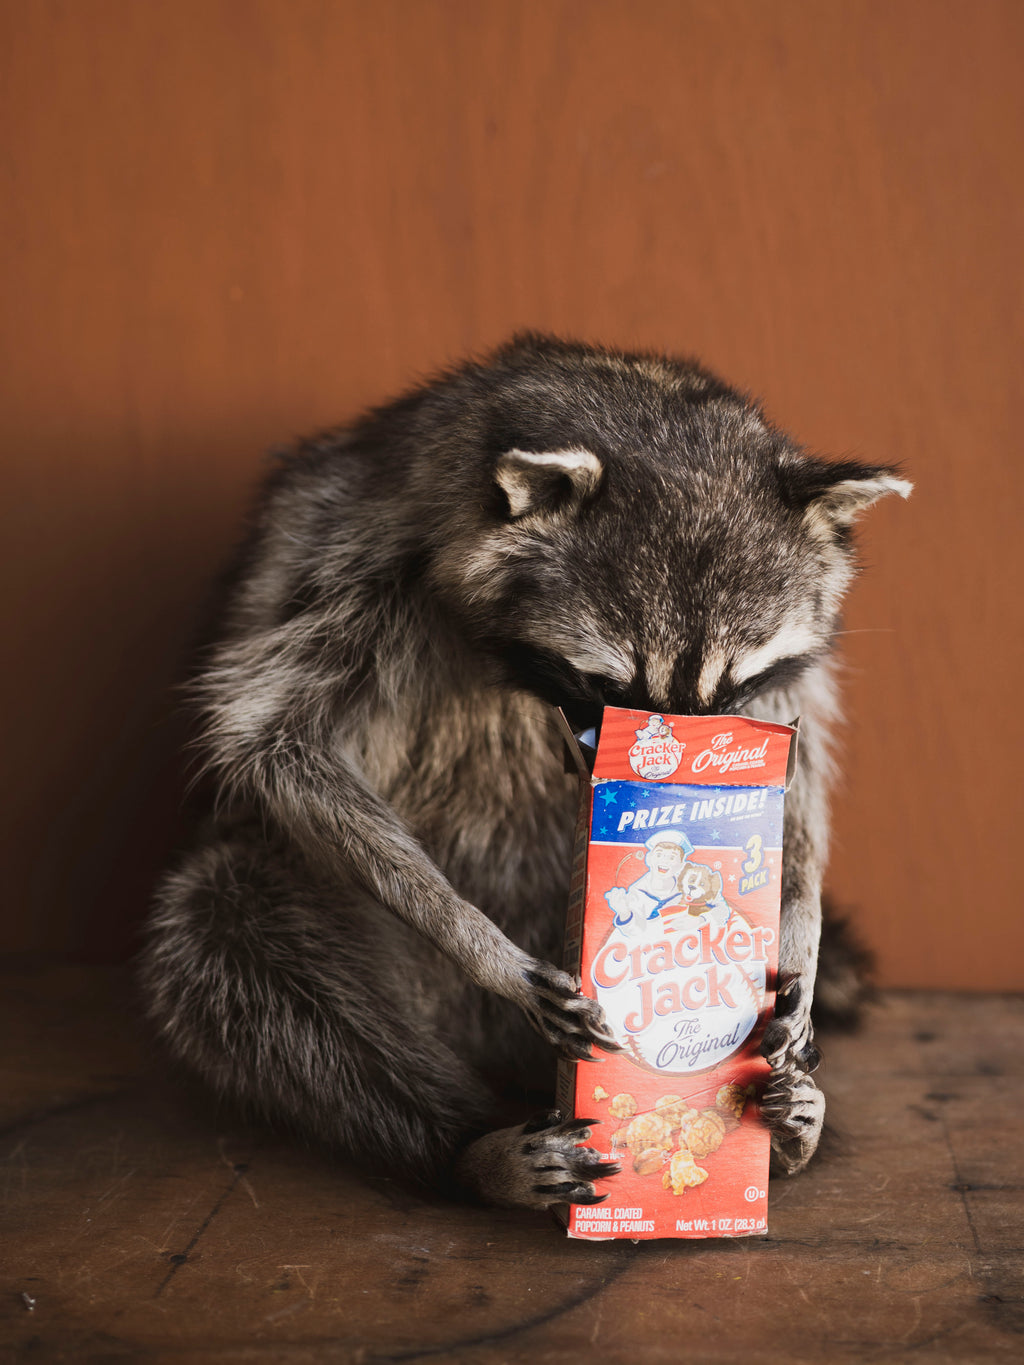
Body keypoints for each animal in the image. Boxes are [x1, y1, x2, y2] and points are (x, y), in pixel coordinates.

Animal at [141, 334, 909, 1209]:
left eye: (732, 690)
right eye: (608, 685)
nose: (665, 779)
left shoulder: (782, 691)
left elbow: (797, 777)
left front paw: (797, 928)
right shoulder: (349, 559)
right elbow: (274, 742)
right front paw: (475, 939)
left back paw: (789, 1126)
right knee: (233, 941)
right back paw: (465, 1143)